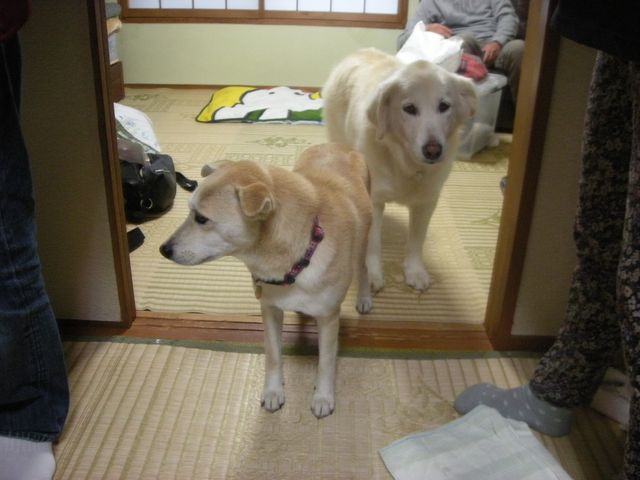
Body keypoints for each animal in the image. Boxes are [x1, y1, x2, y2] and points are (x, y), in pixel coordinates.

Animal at [159, 143, 372, 418]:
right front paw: (273, 391)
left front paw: (323, 397)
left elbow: (325, 361)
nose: (164, 249)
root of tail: (337, 145)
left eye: (202, 219)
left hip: (363, 241)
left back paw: (365, 298)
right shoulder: (269, 309)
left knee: (364, 268)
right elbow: (273, 354)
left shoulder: (328, 317)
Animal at [322, 48, 477, 293]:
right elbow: (373, 243)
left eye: (443, 106)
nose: (433, 150)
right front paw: (372, 273)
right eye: (409, 109)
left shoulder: (426, 203)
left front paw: (415, 271)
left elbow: (416, 241)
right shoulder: (374, 201)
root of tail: (360, 52)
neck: (406, 163)